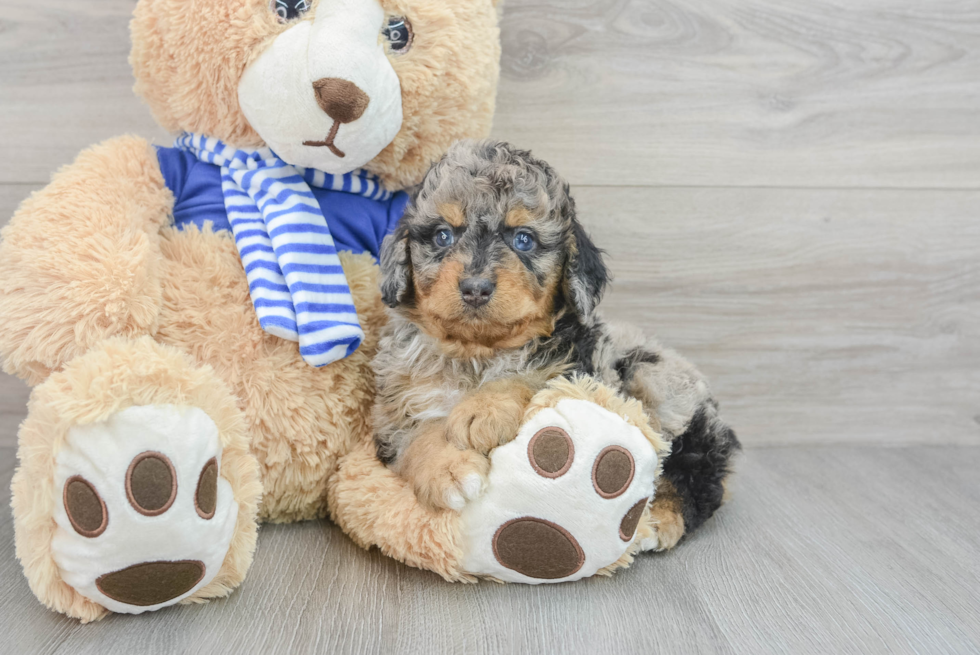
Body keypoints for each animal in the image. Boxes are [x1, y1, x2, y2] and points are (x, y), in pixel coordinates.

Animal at [372, 141, 740, 552]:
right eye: (442, 236)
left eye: (523, 239)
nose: (475, 288)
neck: (477, 353)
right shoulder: (395, 406)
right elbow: (414, 437)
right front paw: (448, 470)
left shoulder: (582, 369)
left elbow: (529, 377)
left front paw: (482, 410)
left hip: (657, 383)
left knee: (698, 472)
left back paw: (662, 514)